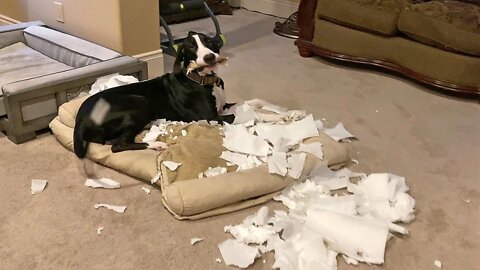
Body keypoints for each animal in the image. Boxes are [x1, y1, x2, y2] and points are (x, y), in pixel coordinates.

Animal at [72, 31, 234, 159]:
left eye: (209, 42)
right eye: (191, 47)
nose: (209, 57)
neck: (200, 78)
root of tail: (80, 118)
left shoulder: (223, 106)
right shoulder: (208, 117)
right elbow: (232, 117)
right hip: (141, 102)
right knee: (118, 145)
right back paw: (156, 144)